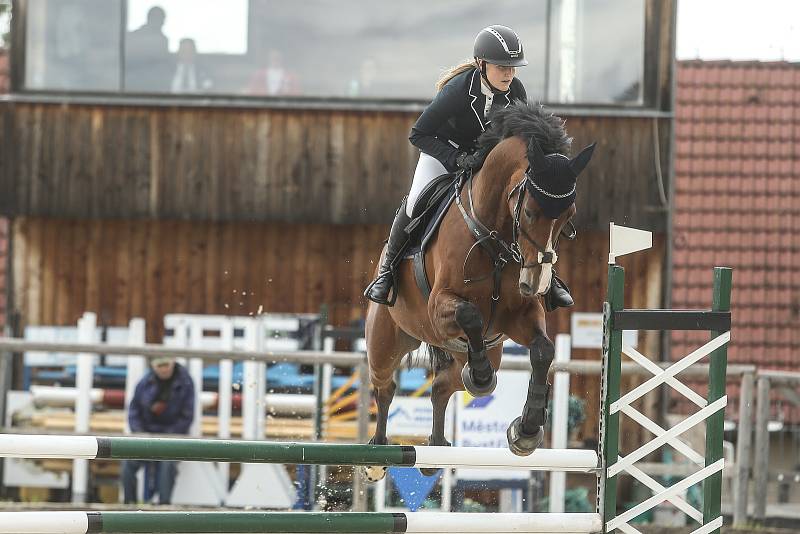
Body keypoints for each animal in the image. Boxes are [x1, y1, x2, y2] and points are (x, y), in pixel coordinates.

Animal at [362, 100, 592, 482]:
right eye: (530, 212)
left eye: (568, 217)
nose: (536, 283)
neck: (493, 236)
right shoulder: (440, 307)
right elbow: (469, 313)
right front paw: (482, 377)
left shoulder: (519, 316)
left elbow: (543, 350)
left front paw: (526, 431)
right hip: (385, 341)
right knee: (385, 386)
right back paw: (377, 455)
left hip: (472, 352)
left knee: (443, 385)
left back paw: (437, 447)